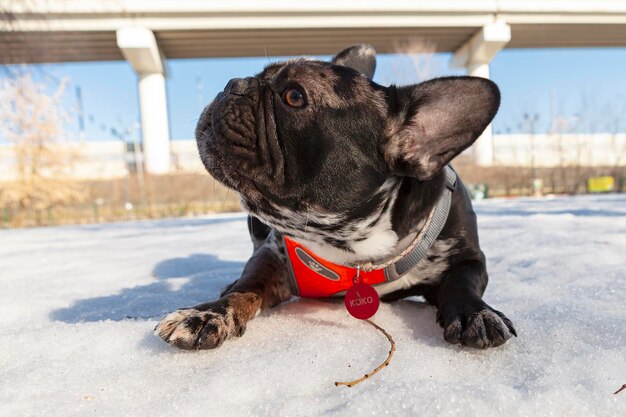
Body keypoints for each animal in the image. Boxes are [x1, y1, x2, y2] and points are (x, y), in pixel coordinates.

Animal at [156, 44, 516, 350]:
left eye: (294, 95)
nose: (234, 83)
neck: (356, 249)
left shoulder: (469, 259)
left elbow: (462, 283)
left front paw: (475, 313)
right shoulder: (272, 255)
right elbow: (249, 284)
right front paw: (208, 312)